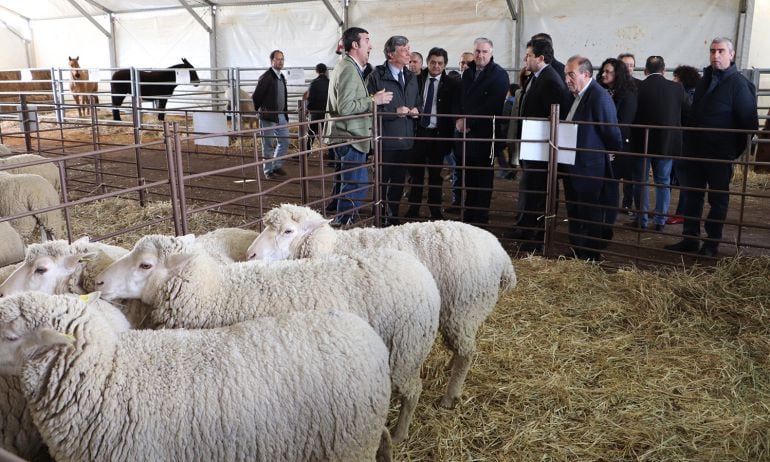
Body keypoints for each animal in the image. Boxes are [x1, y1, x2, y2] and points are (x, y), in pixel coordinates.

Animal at [96, 235, 440, 444]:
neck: (215, 293)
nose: (99, 282)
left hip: (407, 349)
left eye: (145, 264)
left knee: (414, 390)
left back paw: (400, 433)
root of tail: (420, 270)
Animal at [246, 202, 516, 408]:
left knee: (467, 353)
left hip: (463, 308)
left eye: (288, 231)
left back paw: (449, 397)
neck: (333, 246)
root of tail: (501, 254)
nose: (250, 254)